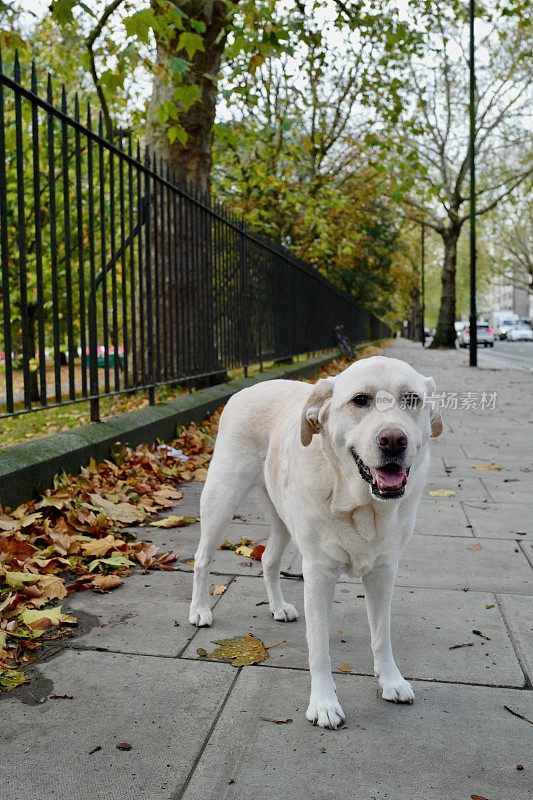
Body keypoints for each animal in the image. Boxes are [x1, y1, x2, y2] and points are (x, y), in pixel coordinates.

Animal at [189, 356, 442, 732]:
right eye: (360, 400)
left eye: (412, 399)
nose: (394, 440)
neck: (361, 504)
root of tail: (248, 388)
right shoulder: (319, 574)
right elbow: (319, 646)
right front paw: (324, 703)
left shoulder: (384, 572)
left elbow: (381, 635)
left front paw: (391, 681)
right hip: (221, 499)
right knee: (202, 558)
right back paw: (200, 610)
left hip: (282, 520)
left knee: (268, 561)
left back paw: (278, 607)